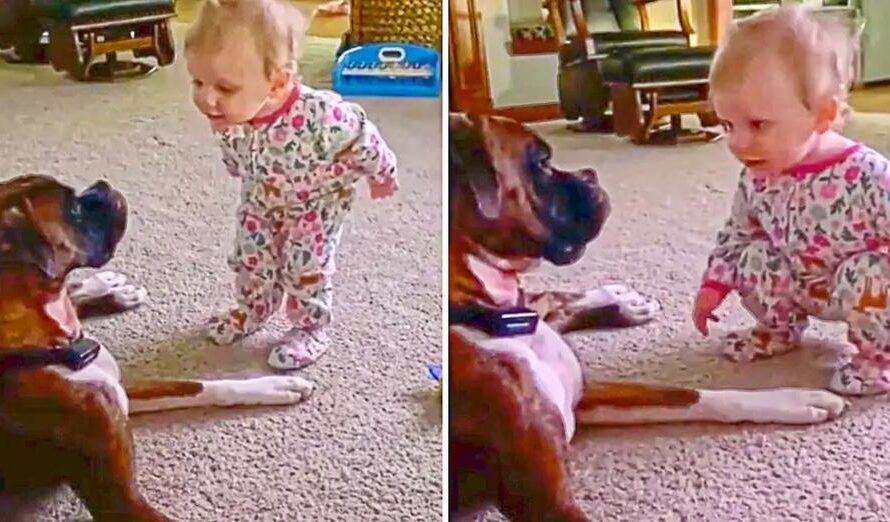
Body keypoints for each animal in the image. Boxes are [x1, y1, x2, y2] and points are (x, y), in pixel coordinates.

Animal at [0, 174, 314, 516]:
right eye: (73, 211)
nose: (102, 185)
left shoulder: (121, 389)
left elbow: (195, 386)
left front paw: (276, 386)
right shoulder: (121, 503)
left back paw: (110, 287)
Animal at [450, 114, 848, 520]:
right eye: (542, 163)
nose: (590, 174)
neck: (491, 313)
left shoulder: (583, 393)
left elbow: (688, 395)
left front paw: (797, 399)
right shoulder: (543, 499)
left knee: (549, 301)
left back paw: (623, 301)